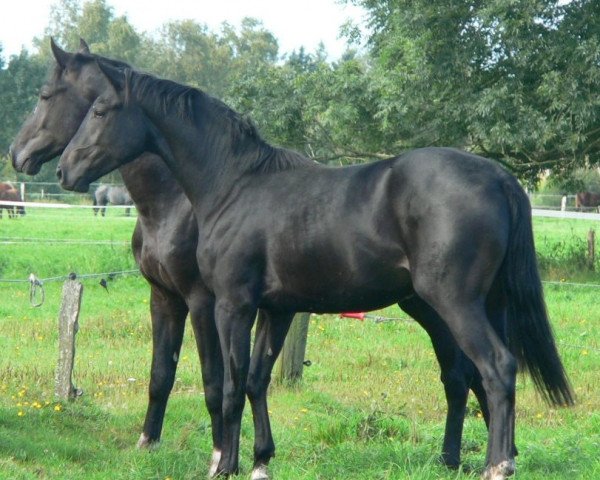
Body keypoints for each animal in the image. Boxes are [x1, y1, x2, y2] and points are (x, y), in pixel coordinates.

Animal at [55, 56, 572, 476]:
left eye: (99, 112)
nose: (63, 170)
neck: (236, 184)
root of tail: (499, 176)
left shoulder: (231, 306)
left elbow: (231, 383)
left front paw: (225, 466)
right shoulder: (277, 309)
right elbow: (257, 380)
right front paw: (261, 460)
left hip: (454, 304)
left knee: (496, 368)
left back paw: (496, 465)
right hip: (479, 305)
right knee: (472, 377)